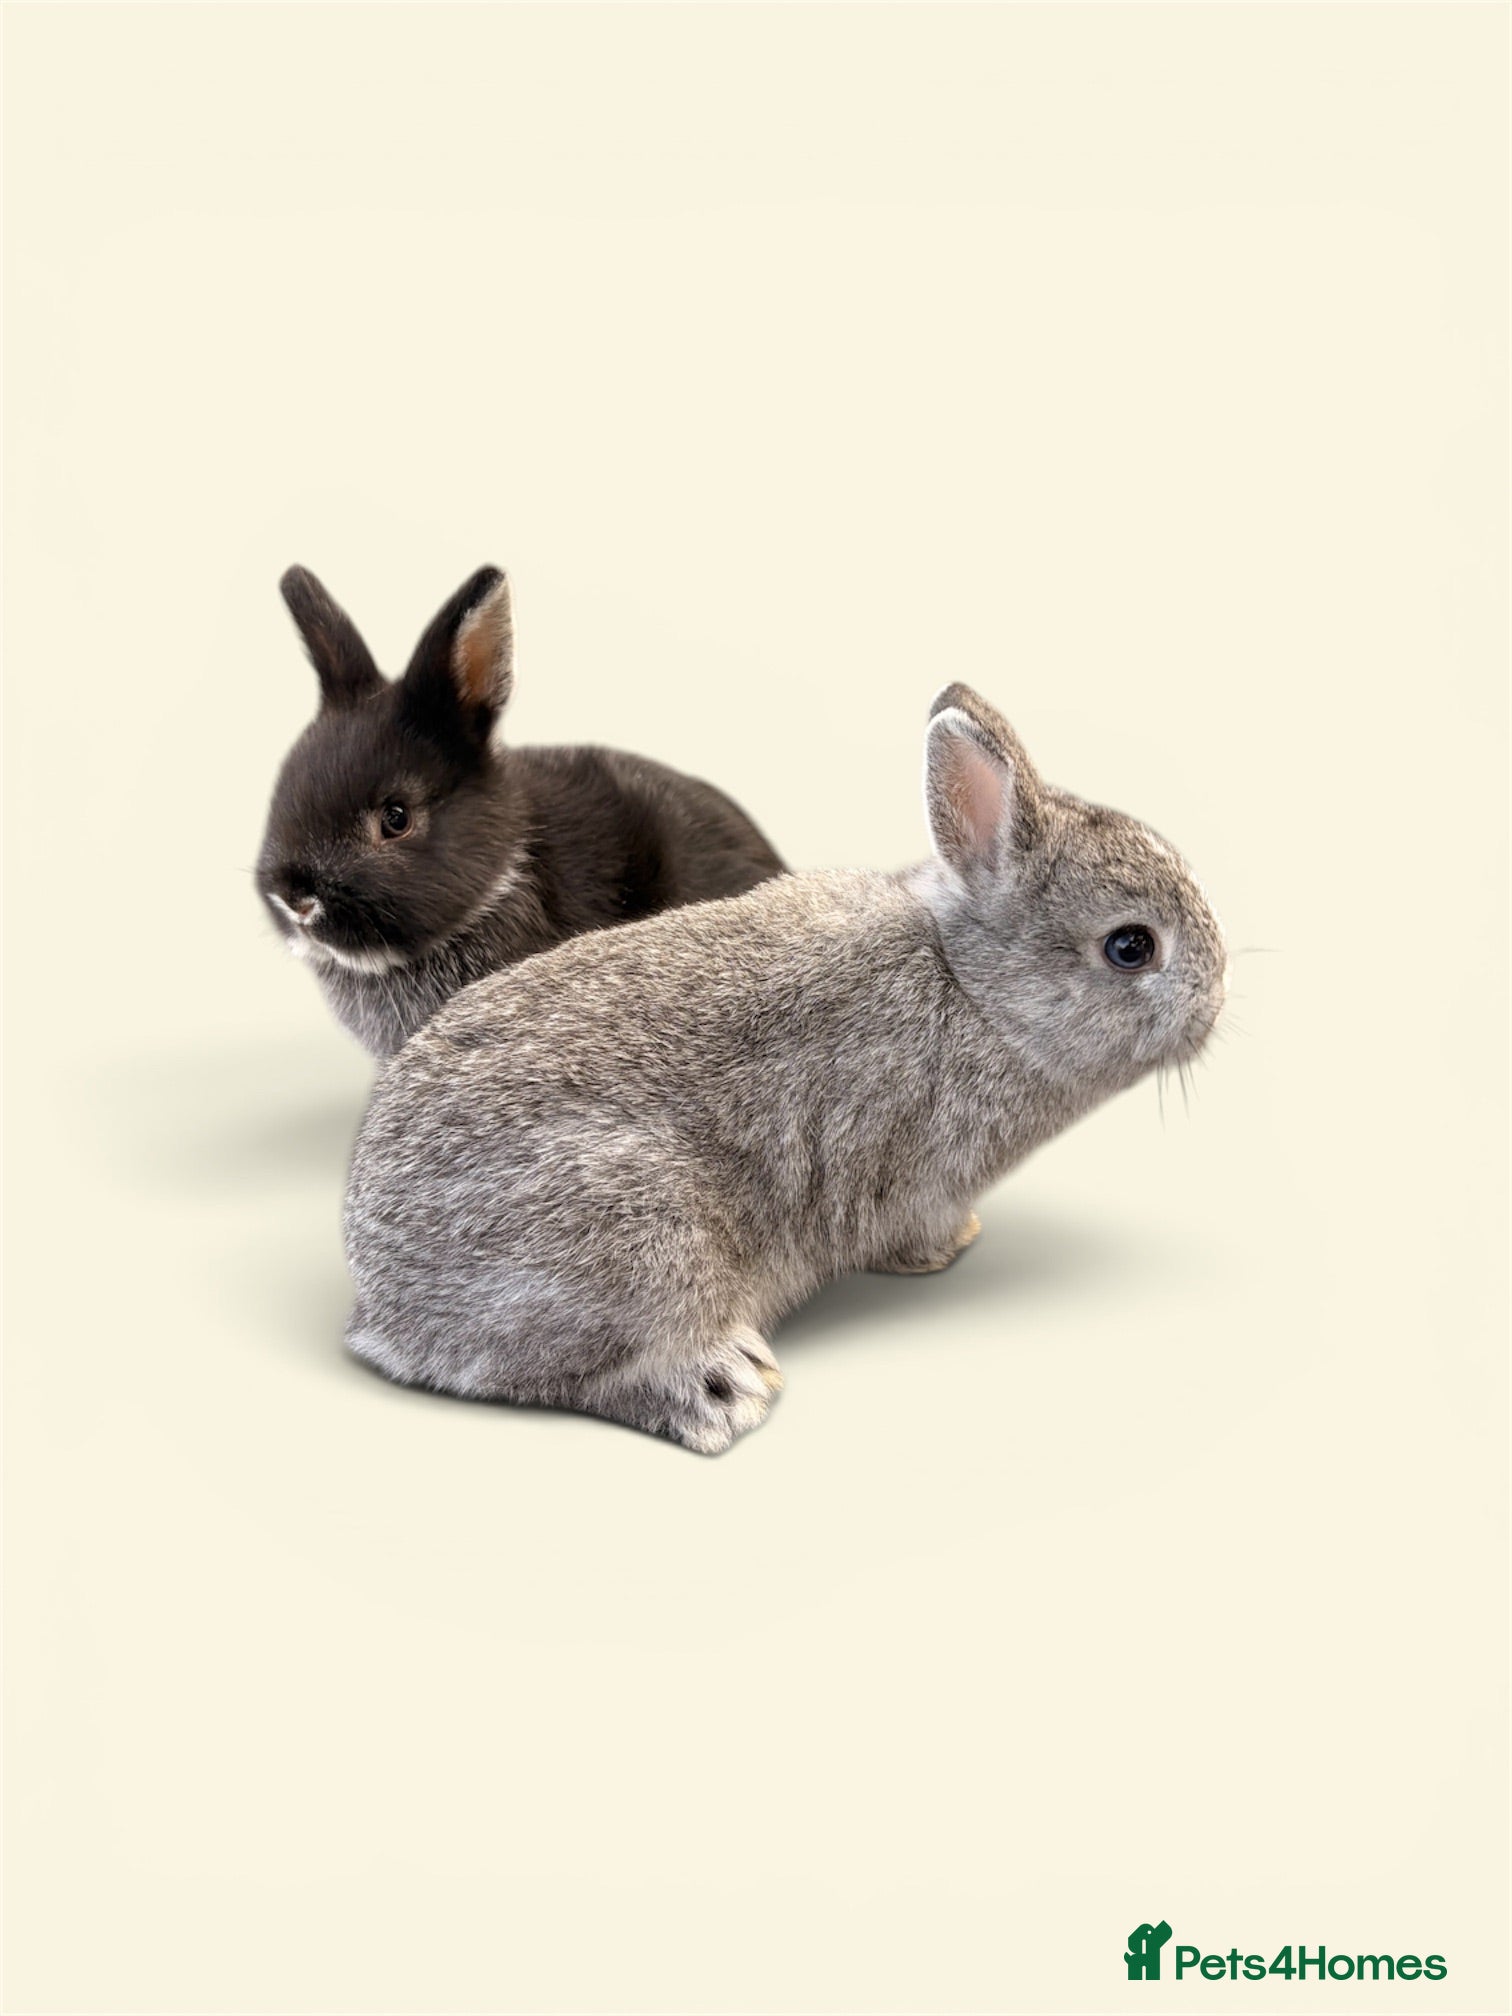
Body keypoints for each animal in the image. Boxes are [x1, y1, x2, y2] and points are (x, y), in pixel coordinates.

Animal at [343, 682, 1227, 1452]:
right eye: (1131, 947)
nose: (1214, 999)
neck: (971, 985)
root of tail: (386, 1311)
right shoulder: (914, 1176)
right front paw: (942, 1251)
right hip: (638, 1239)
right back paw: (723, 1392)